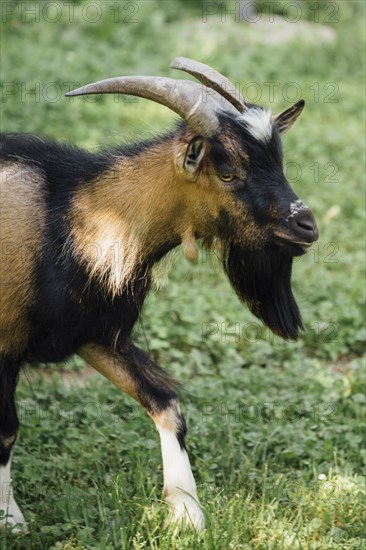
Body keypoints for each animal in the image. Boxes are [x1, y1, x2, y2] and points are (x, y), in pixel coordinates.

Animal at [0, 58, 318, 532]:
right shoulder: (5, 346)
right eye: (228, 172)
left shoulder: (96, 335)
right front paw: (11, 520)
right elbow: (6, 429)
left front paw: (186, 513)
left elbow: (167, 404)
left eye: (279, 164)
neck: (69, 220)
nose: (307, 226)